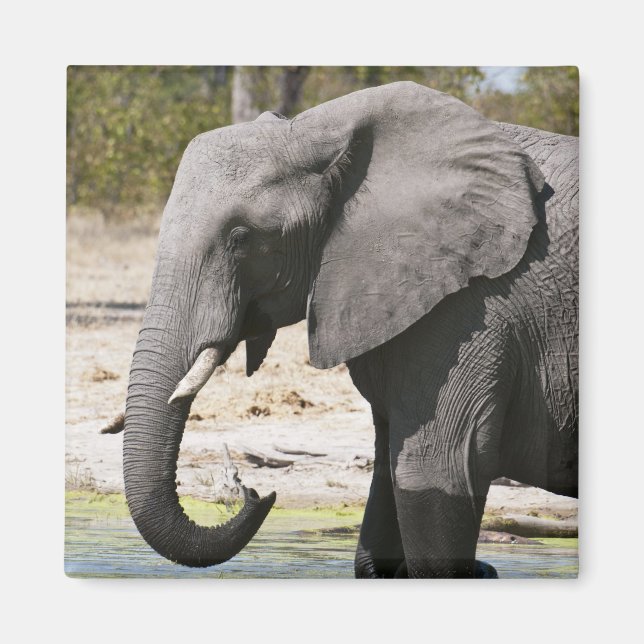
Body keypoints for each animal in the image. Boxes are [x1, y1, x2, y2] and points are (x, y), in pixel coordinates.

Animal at [119, 81, 578, 578]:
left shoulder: (473, 308)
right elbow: (384, 499)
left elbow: (434, 474)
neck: (319, 130)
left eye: (241, 239)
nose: (257, 493)